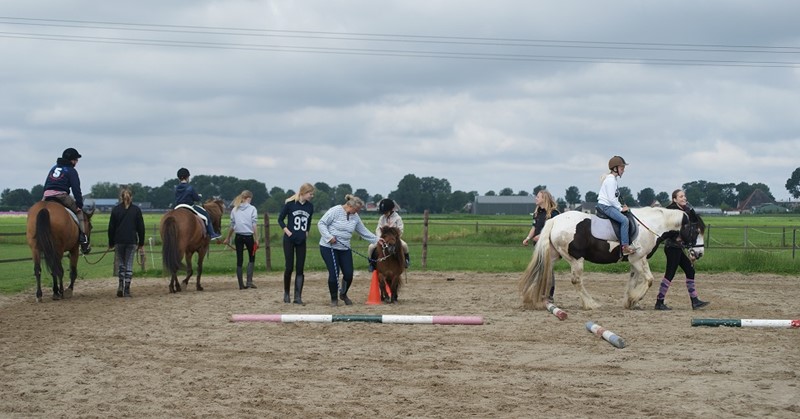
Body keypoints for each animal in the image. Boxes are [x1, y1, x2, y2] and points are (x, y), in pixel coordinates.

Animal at [520, 208, 704, 310]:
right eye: (696, 230)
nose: (699, 254)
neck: (651, 225)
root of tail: (554, 220)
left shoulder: (634, 261)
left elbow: (633, 281)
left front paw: (631, 301)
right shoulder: (638, 258)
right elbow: (650, 280)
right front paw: (635, 299)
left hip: (553, 256)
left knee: (542, 272)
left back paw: (532, 299)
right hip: (576, 259)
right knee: (576, 281)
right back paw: (590, 304)